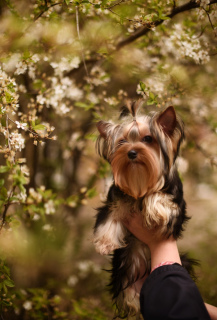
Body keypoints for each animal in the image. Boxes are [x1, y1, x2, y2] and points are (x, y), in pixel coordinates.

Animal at [93, 100, 190, 318]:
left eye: (148, 139)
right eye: (121, 142)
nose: (131, 153)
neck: (140, 181)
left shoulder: (177, 206)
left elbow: (159, 198)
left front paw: (156, 211)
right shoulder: (115, 198)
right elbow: (111, 215)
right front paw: (105, 243)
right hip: (124, 277)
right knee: (132, 300)